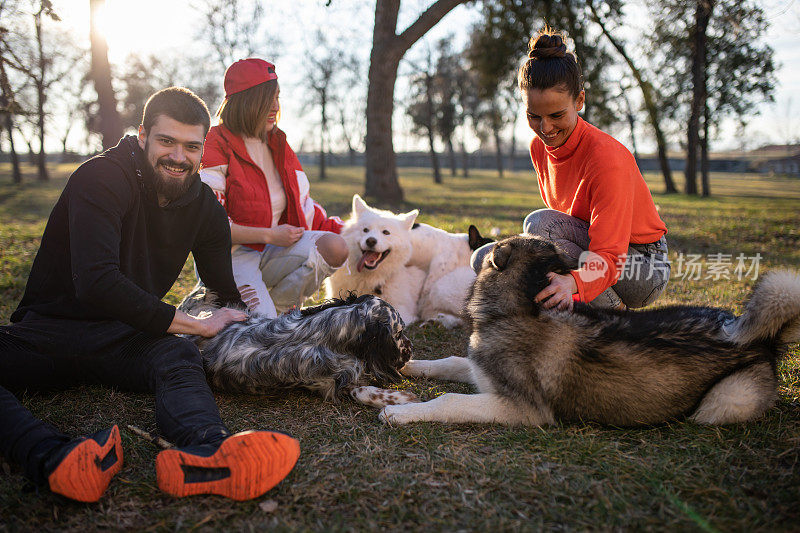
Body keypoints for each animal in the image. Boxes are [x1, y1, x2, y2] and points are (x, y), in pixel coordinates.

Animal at [378, 235, 800, 426]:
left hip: (727, 399)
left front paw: (401, 413)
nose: (479, 244)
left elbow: (450, 399)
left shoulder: (522, 409)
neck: (521, 307)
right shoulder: (482, 370)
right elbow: (449, 360)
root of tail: (764, 339)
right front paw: (409, 366)